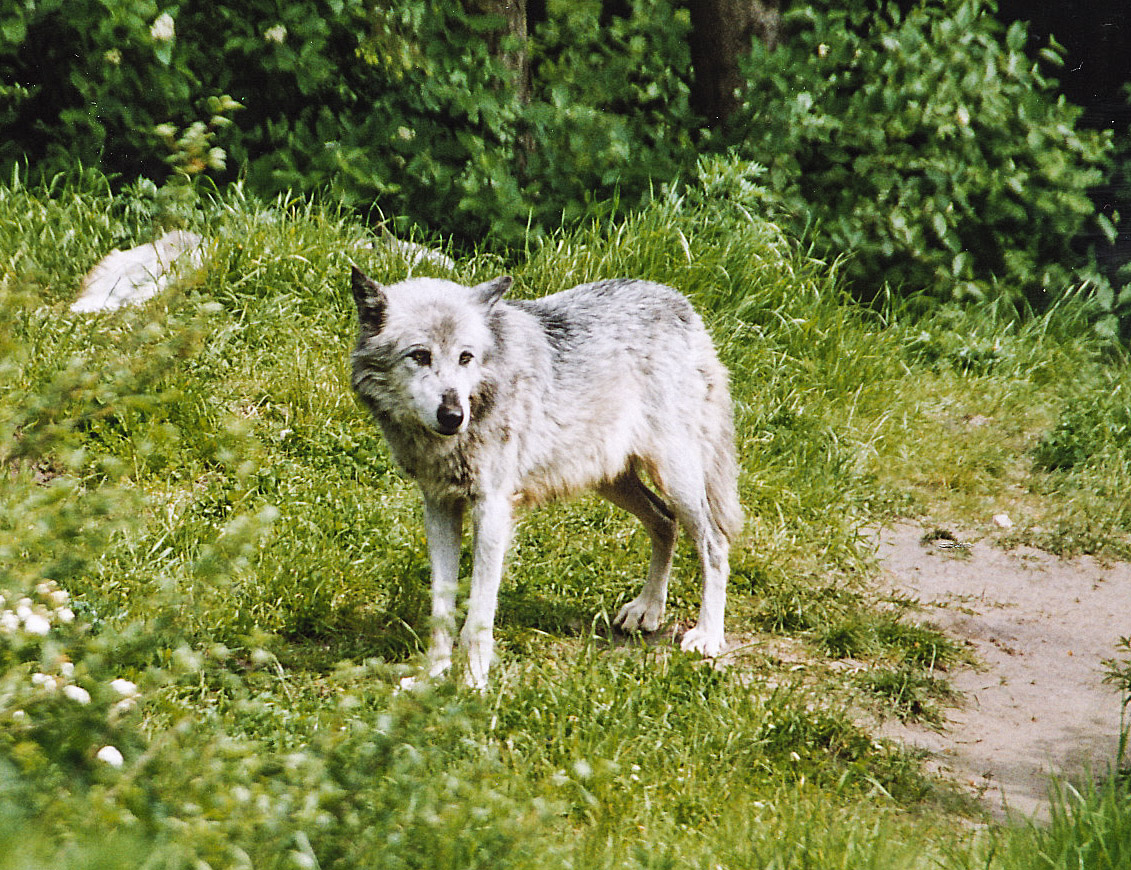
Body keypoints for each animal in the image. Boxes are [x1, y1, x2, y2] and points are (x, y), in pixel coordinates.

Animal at [348, 268, 746, 687]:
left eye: (465, 357)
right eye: (420, 356)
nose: (454, 416)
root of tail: (678, 301)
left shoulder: (492, 510)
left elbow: (478, 616)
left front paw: (472, 684)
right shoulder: (439, 507)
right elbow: (441, 609)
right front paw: (432, 678)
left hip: (676, 478)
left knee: (714, 543)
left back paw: (707, 635)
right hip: (613, 481)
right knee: (665, 522)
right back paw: (647, 610)